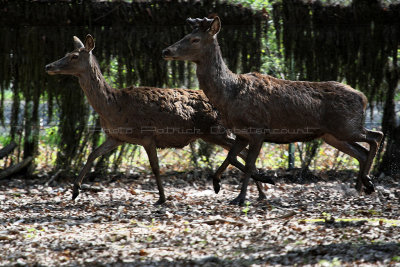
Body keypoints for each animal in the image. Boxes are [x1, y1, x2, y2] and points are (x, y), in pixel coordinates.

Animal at [45, 34, 274, 206]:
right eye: (66, 53)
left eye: (74, 56)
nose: (48, 66)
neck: (113, 107)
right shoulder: (116, 137)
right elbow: (93, 154)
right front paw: (75, 190)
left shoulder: (147, 135)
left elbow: (155, 167)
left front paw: (162, 198)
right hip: (214, 134)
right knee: (243, 152)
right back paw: (260, 192)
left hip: (215, 131)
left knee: (244, 151)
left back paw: (258, 190)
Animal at [162, 16, 384, 205]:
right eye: (185, 35)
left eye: (195, 39)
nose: (166, 51)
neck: (229, 96)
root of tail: (363, 98)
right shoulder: (241, 133)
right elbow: (231, 158)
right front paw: (220, 183)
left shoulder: (258, 128)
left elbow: (248, 164)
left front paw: (242, 197)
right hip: (332, 134)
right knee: (361, 151)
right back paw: (361, 187)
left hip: (346, 126)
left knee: (376, 136)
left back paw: (367, 182)